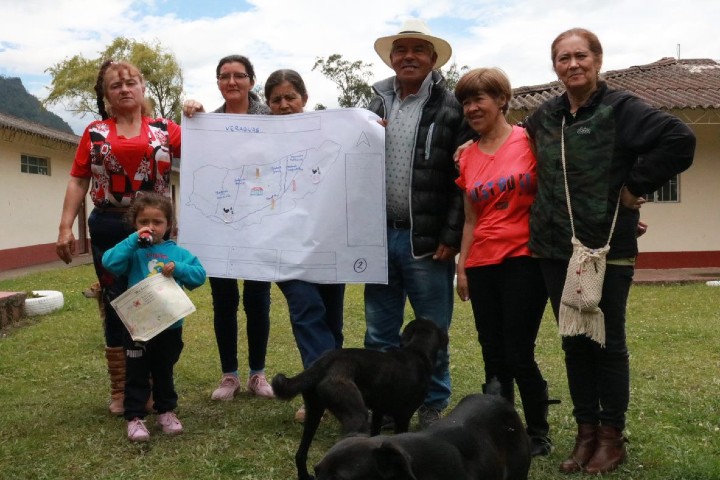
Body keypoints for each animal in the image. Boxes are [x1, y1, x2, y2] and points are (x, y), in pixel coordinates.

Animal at [272, 318, 448, 480]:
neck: (417, 351)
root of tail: (324, 362)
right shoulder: (403, 416)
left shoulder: (378, 411)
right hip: (355, 414)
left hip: (313, 413)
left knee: (300, 454)